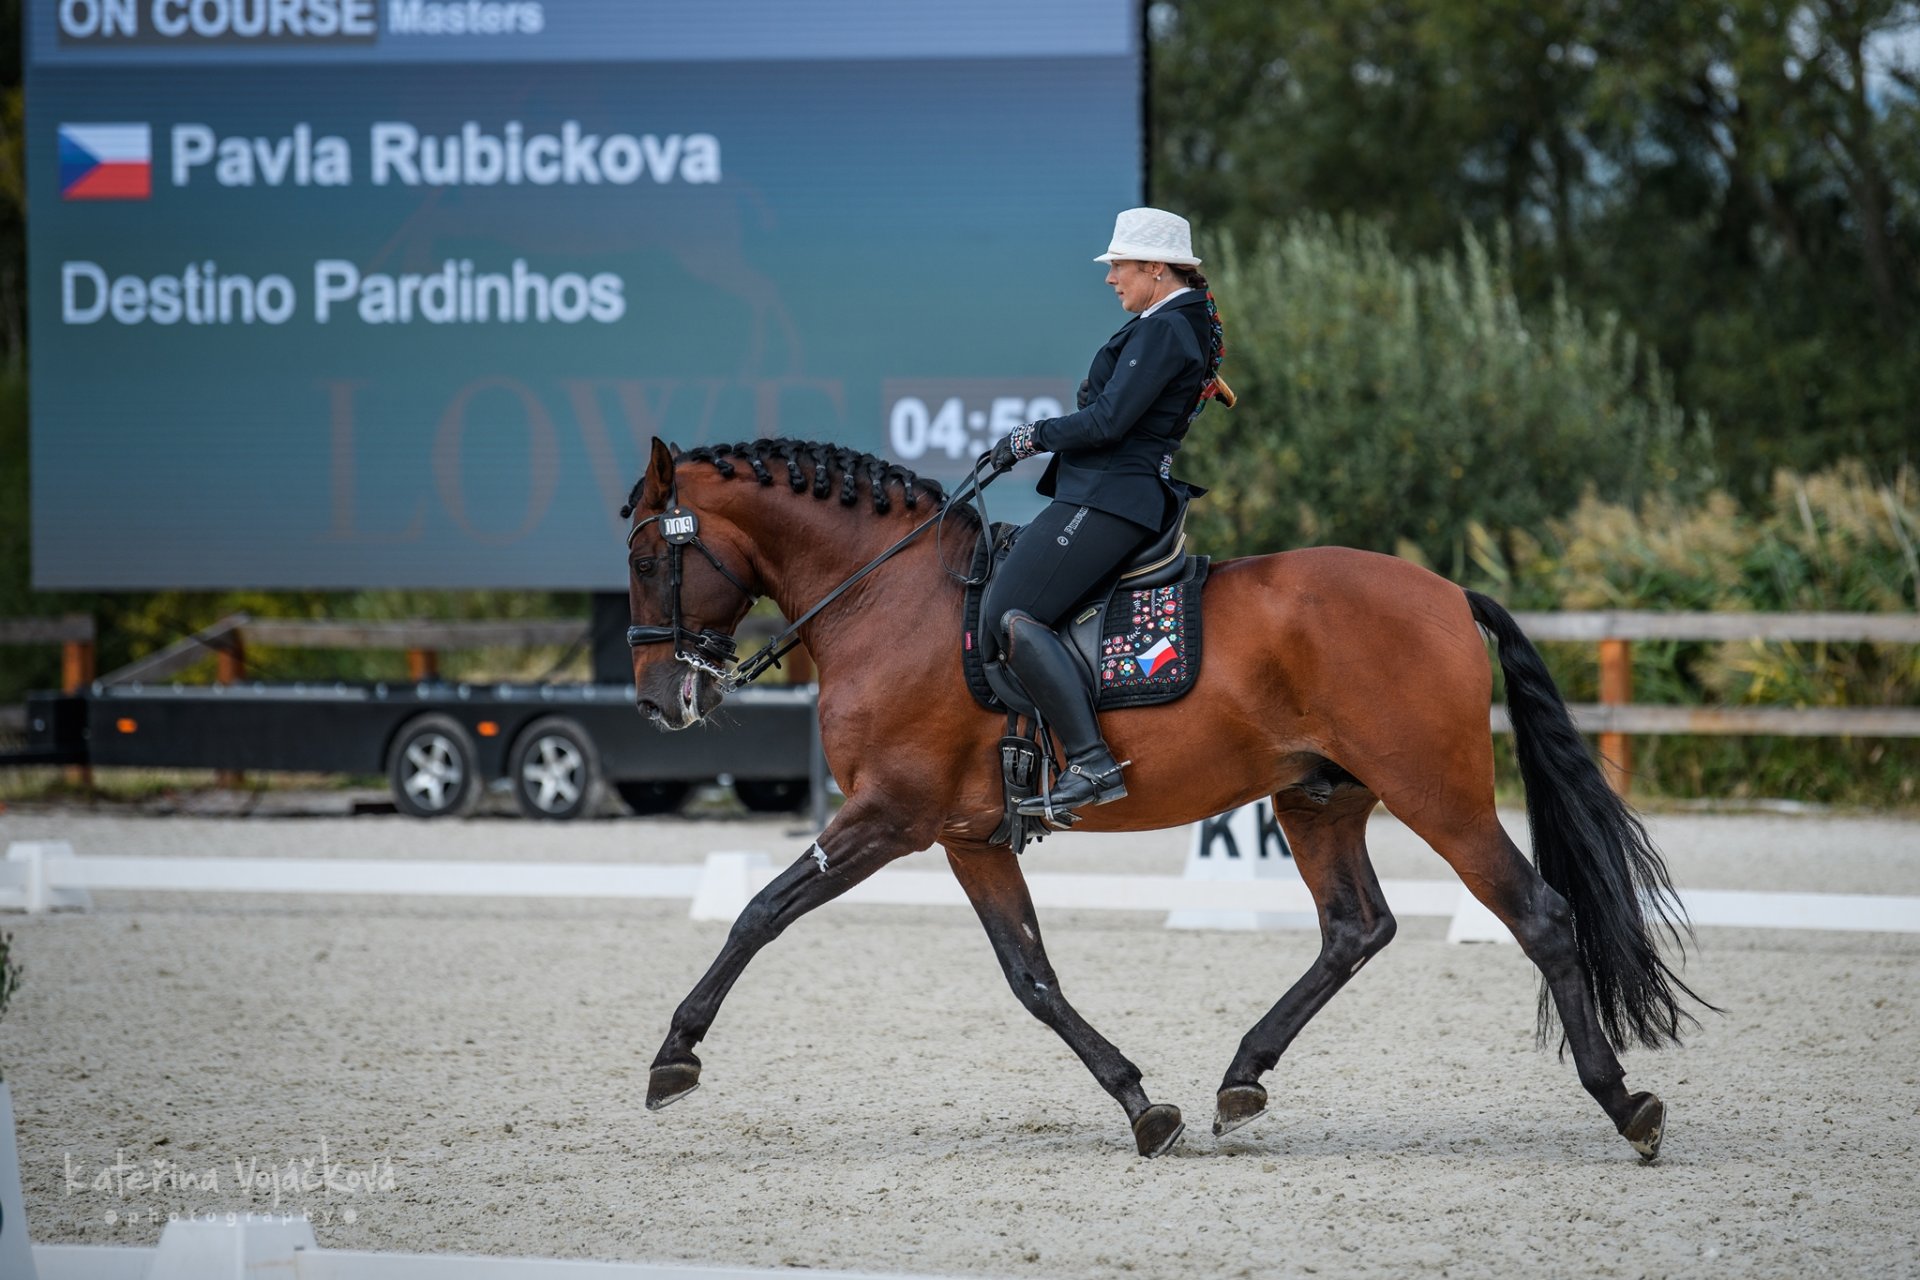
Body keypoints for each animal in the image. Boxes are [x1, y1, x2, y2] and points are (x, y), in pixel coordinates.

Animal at [622, 437, 1704, 1159]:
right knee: (1355, 928)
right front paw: (1143, 1105)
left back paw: (1626, 1103)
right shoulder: (972, 837)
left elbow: (761, 912)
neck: (886, 600)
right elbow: (1033, 977)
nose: (658, 699)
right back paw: (1240, 1080)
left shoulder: (887, 817)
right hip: (1318, 800)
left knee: (1539, 914)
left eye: (643, 556)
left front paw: (675, 1055)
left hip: (1439, 795)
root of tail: (1447, 592)